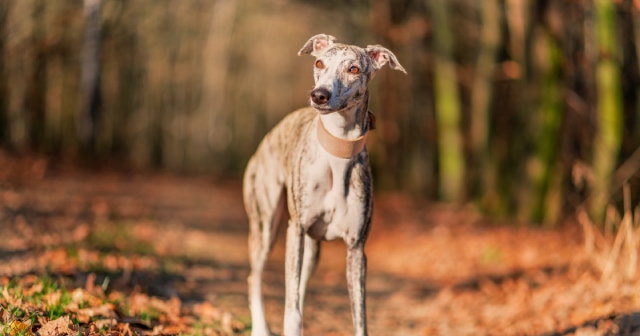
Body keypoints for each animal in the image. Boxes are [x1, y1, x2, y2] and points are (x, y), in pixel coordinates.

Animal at [245, 32, 404, 334]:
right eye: (319, 62)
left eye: (354, 68)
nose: (319, 95)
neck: (337, 152)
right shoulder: (295, 231)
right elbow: (292, 312)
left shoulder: (356, 249)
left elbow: (360, 320)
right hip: (266, 224)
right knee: (255, 278)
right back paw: (260, 327)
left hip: (311, 251)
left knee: (300, 288)